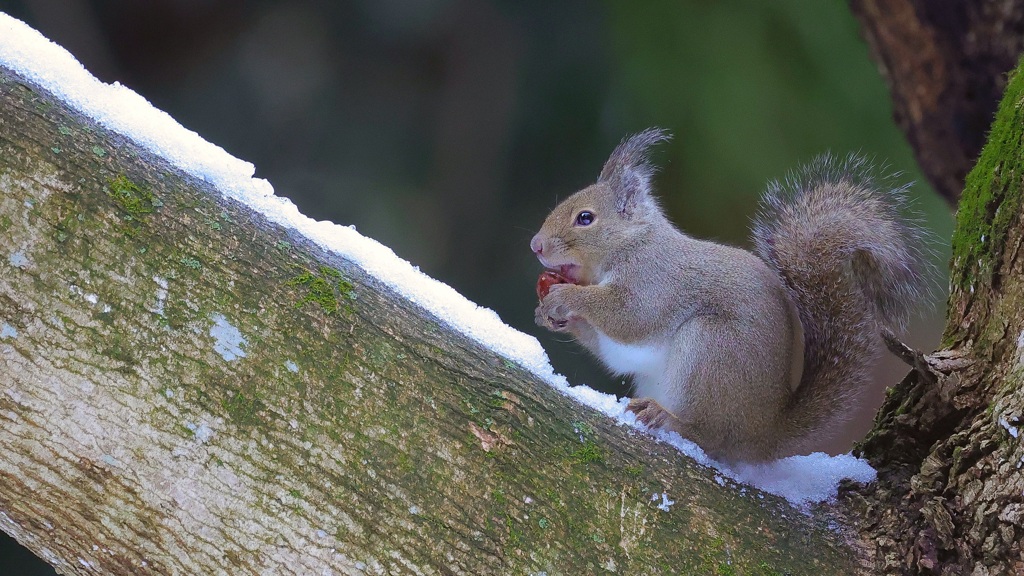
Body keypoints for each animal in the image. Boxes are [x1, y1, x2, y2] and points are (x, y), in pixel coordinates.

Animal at [532, 127, 933, 459]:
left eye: (585, 218)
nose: (535, 245)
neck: (632, 244)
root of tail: (764, 434)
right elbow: (612, 350)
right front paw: (550, 317)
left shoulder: (656, 281)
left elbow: (629, 316)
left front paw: (564, 300)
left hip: (711, 348)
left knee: (710, 437)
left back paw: (670, 419)